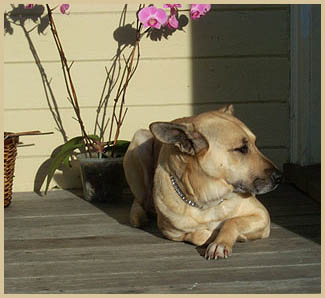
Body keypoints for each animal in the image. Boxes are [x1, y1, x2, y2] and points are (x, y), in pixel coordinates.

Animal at [123, 106, 280, 260]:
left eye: (255, 144)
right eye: (242, 149)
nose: (279, 176)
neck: (207, 199)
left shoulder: (262, 216)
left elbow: (232, 221)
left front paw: (220, 242)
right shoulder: (172, 233)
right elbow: (196, 235)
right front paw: (214, 236)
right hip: (138, 143)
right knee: (140, 199)